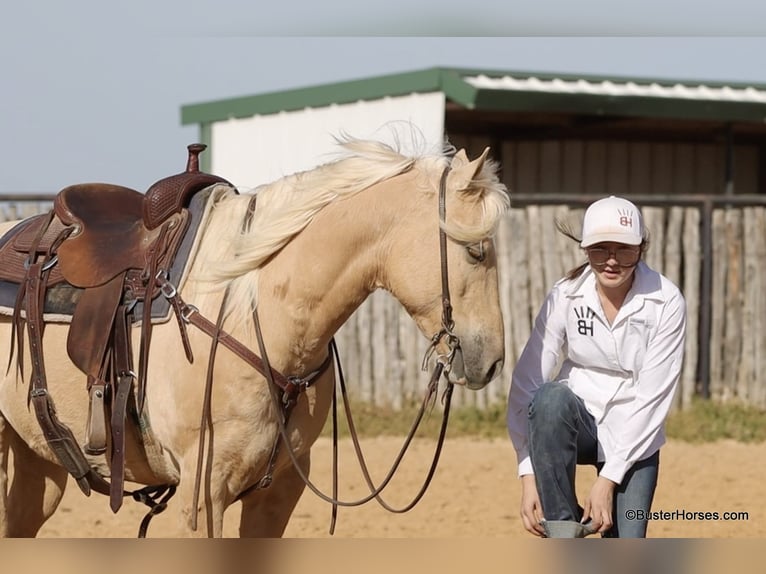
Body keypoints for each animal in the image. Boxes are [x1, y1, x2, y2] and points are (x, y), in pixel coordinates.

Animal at [0, 138, 510, 537]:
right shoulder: (202, 494)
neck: (253, 309)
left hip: (39, 469)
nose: (492, 362)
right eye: (475, 250)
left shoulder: (278, 493)